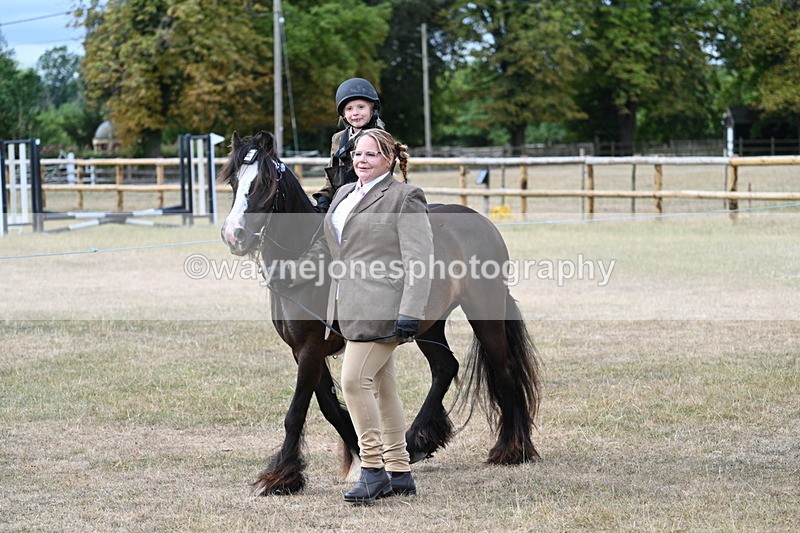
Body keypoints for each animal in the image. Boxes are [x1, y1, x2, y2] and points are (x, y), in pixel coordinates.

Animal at [219, 131, 542, 496]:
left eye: (263, 183)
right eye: (233, 180)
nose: (233, 234)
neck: (305, 261)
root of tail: (482, 222)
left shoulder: (312, 348)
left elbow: (297, 410)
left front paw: (280, 477)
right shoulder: (302, 349)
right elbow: (329, 406)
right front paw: (360, 456)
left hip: (484, 310)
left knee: (504, 370)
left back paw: (511, 449)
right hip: (427, 324)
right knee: (445, 367)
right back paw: (418, 441)